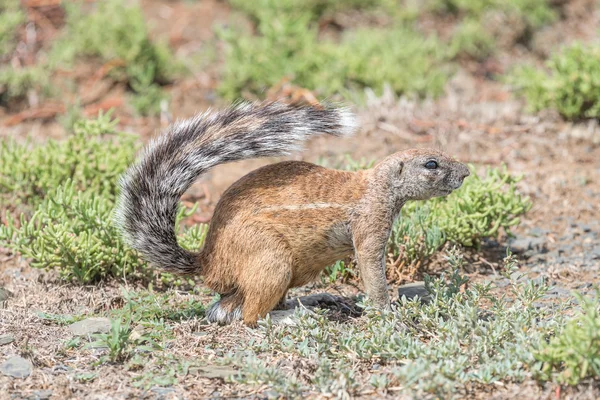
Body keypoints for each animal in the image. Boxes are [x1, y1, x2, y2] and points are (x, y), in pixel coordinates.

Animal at [115, 101, 472, 326]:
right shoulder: (370, 227)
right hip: (272, 259)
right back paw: (293, 317)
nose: (467, 172)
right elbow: (372, 270)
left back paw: (317, 300)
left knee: (227, 308)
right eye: (431, 164)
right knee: (248, 316)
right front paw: (389, 313)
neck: (376, 185)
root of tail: (207, 261)